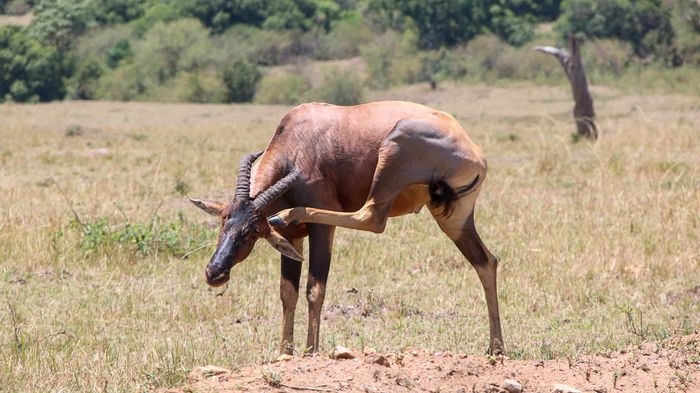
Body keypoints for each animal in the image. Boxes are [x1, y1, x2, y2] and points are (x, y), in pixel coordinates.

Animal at [190, 99, 504, 354]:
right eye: (223, 219)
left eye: (254, 231)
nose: (215, 273)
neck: (298, 139)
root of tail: (474, 149)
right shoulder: (292, 239)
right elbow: (287, 292)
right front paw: (284, 354)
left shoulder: (320, 231)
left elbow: (315, 289)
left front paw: (311, 352)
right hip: (454, 217)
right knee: (486, 261)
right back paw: (496, 349)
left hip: (394, 151)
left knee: (371, 217)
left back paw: (289, 213)